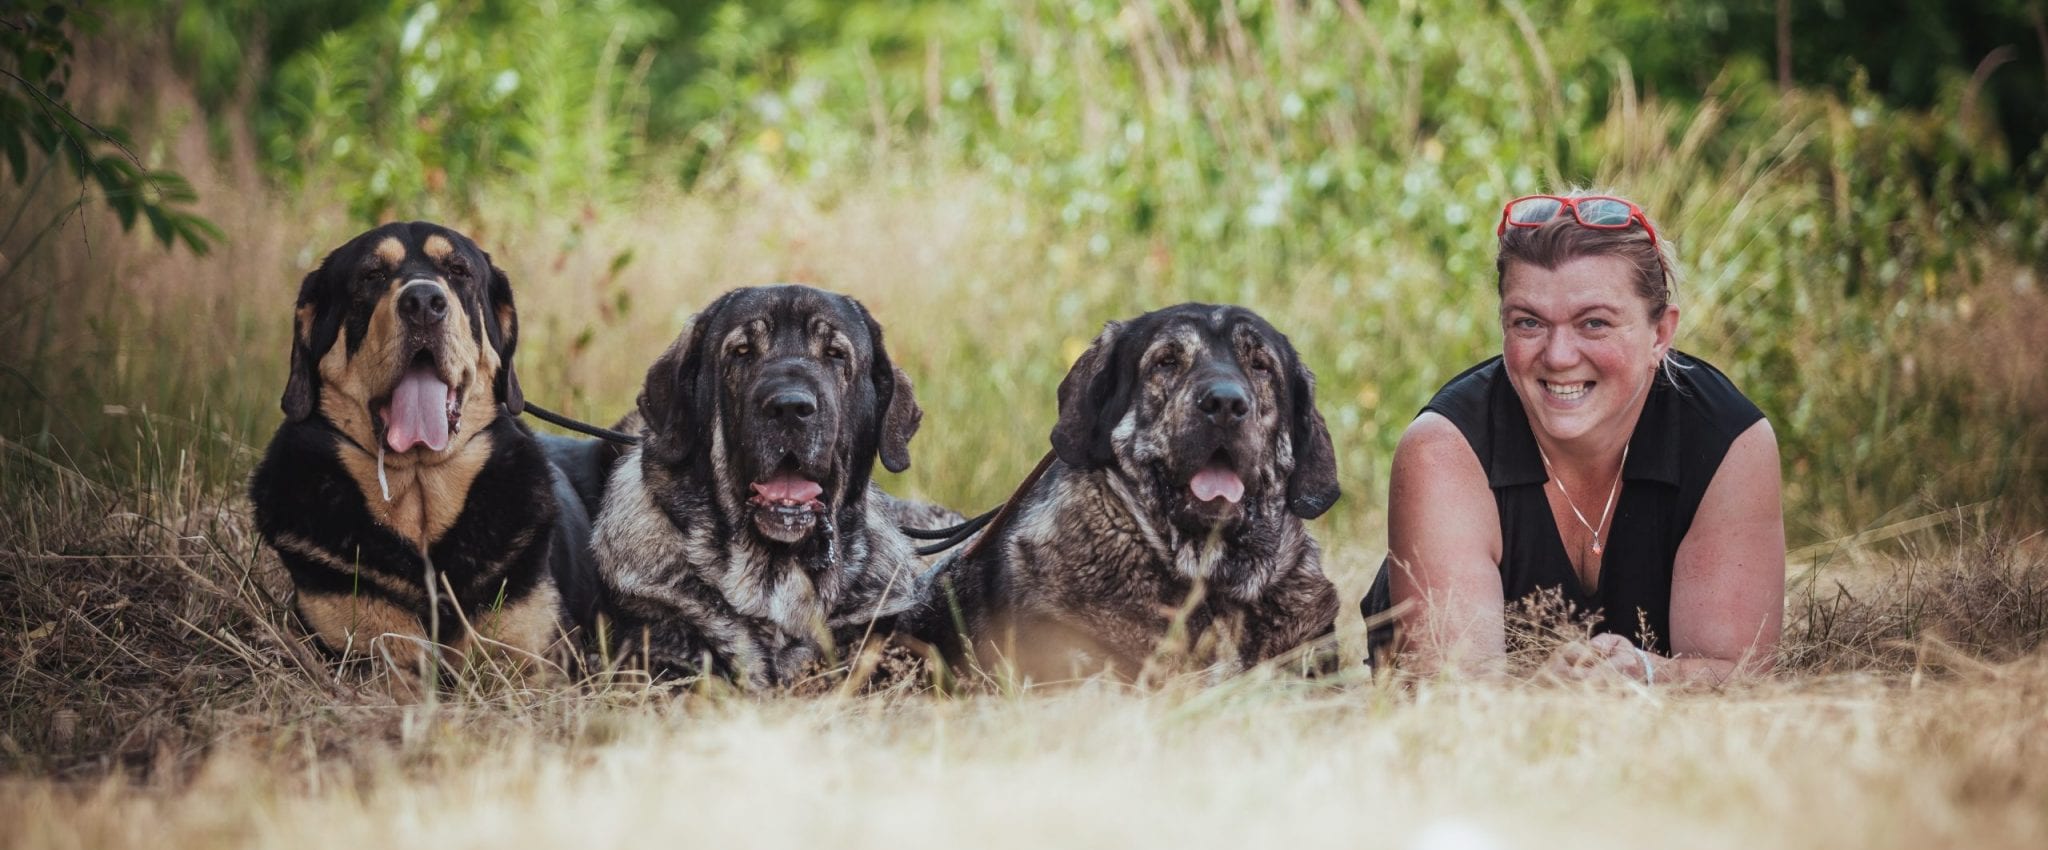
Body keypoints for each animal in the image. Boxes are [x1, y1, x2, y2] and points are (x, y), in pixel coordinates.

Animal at [247, 221, 598, 680]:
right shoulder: (368, 648)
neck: (421, 501)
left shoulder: (534, 655)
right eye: (371, 275)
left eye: (458, 271)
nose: (424, 303)